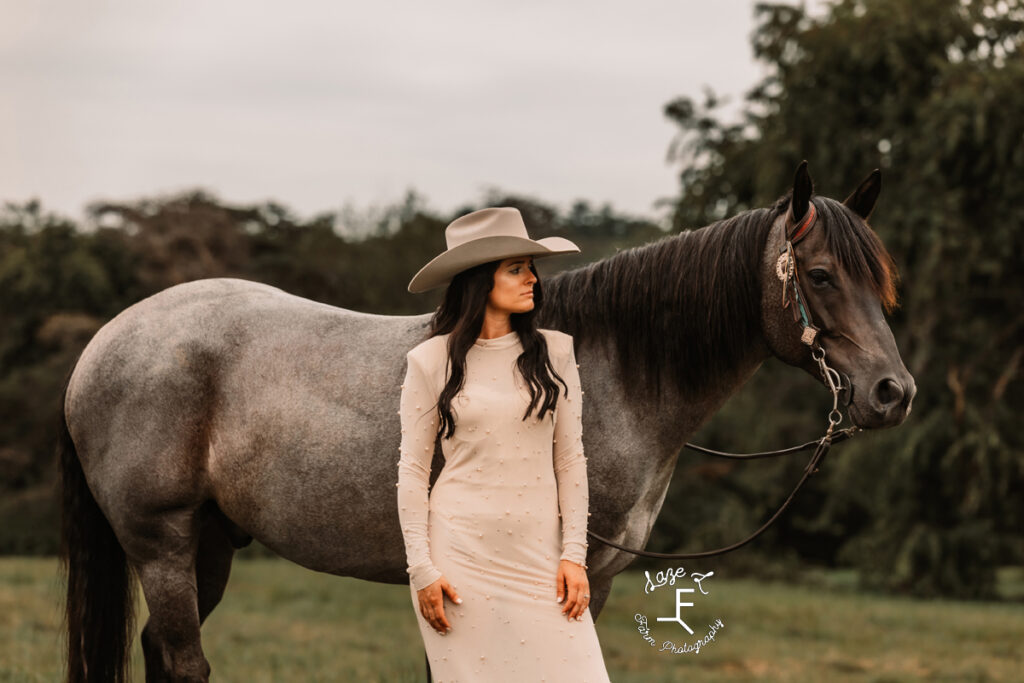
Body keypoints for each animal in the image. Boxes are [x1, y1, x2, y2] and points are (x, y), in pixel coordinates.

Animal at [59, 162, 917, 679]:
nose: (892, 392)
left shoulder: (590, 582)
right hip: (164, 543)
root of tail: (102, 346)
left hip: (209, 542)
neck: (610, 369)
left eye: (879, 278)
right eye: (819, 275)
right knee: (183, 657)